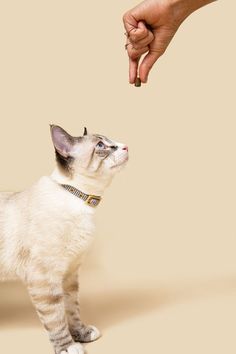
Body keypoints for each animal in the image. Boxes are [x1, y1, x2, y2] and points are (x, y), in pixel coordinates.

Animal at [0, 126, 129, 354]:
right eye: (101, 145)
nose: (126, 146)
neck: (81, 203)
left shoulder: (69, 274)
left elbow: (72, 310)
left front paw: (82, 334)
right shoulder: (44, 279)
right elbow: (56, 319)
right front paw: (68, 347)